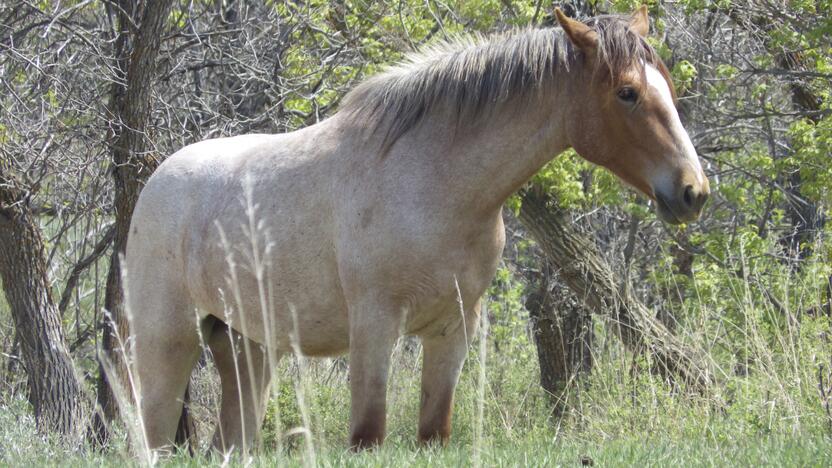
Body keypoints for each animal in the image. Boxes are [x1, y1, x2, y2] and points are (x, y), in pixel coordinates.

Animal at [123, 6, 708, 454]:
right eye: (627, 92)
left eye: (668, 87)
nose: (693, 191)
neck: (434, 183)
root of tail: (157, 180)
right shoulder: (375, 328)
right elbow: (368, 435)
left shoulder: (452, 331)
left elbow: (433, 432)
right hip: (166, 348)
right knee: (154, 437)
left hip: (248, 352)